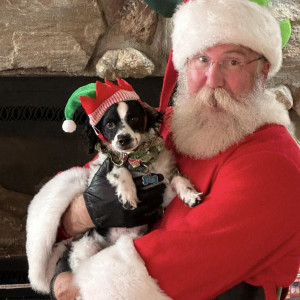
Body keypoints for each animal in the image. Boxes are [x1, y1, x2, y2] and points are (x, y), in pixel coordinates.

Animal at [66, 82, 202, 272]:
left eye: (134, 118)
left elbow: (177, 178)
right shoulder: (100, 172)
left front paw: (190, 195)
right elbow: (118, 166)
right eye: (109, 124)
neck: (138, 159)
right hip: (87, 246)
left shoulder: (161, 197)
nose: (123, 139)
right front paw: (128, 194)